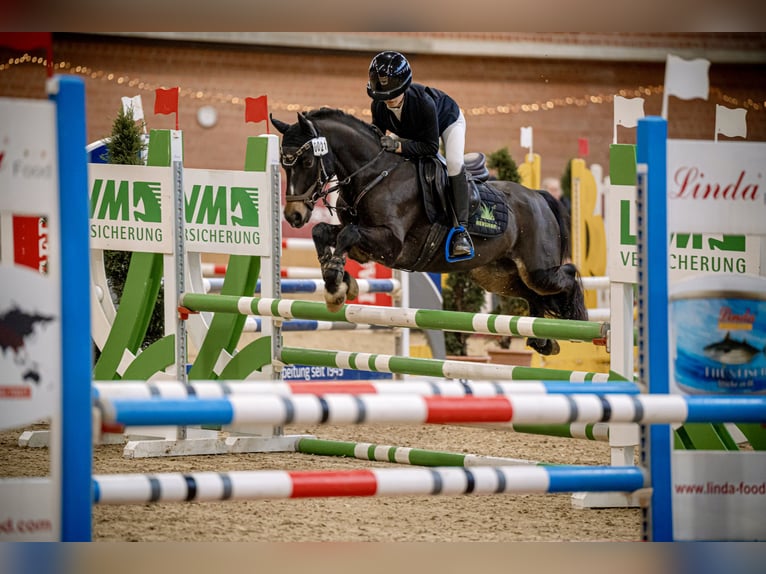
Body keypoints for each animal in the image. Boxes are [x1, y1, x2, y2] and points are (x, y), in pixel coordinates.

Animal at [271, 108, 588, 355]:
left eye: (307, 161)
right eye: (285, 165)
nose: (293, 215)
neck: (374, 175)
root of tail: (538, 196)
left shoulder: (390, 244)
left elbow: (347, 235)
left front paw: (337, 283)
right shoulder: (363, 245)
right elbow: (323, 231)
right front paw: (336, 279)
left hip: (538, 270)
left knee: (568, 275)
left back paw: (579, 319)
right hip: (498, 276)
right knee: (534, 295)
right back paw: (543, 340)